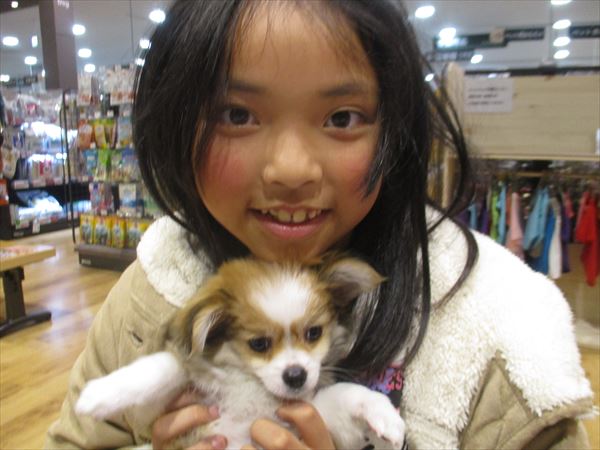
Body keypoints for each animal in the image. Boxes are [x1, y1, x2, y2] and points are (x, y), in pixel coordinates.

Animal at [76, 255, 405, 449]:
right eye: (258, 343)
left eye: (314, 333)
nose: (296, 376)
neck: (249, 384)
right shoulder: (159, 415)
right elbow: (165, 366)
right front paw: (99, 395)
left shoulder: (310, 417)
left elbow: (348, 392)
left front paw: (385, 415)